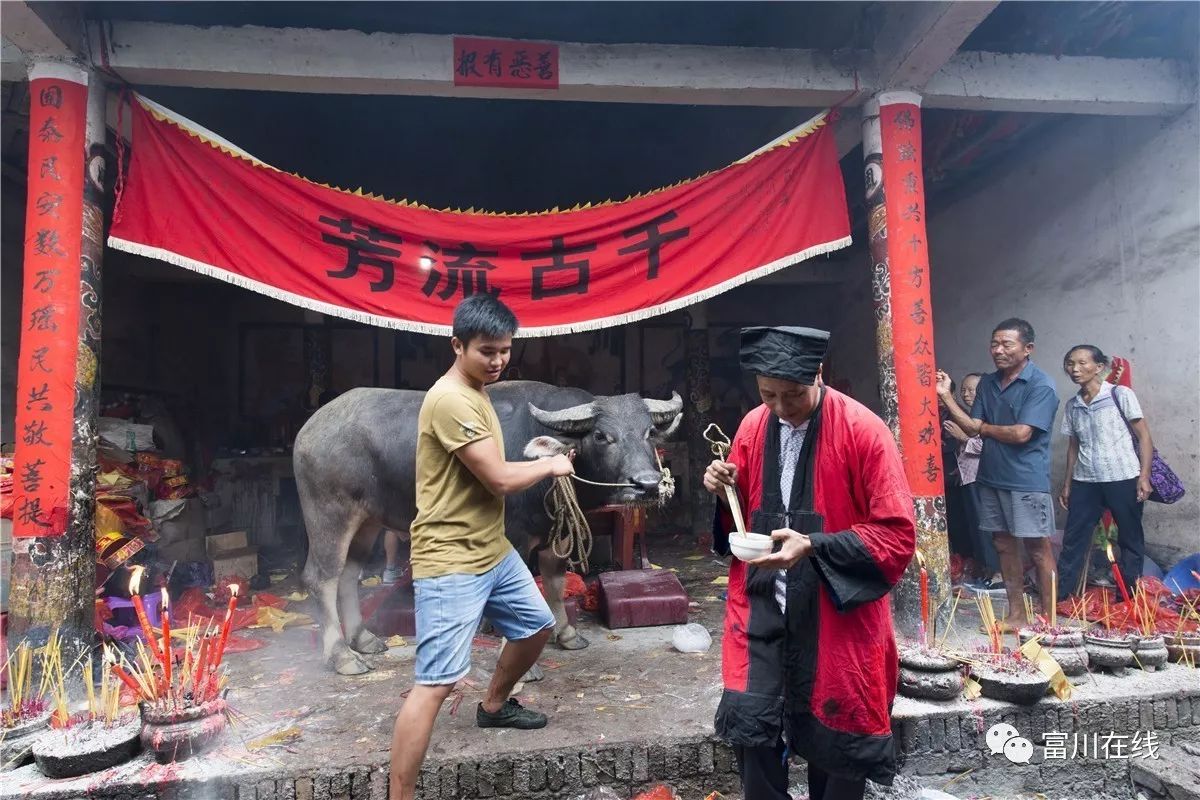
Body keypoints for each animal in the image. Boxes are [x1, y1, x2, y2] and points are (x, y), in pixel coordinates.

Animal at [295, 381, 681, 676]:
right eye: (602, 435)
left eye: (648, 432)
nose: (647, 484)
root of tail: (308, 430)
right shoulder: (513, 538)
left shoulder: (554, 534)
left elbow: (555, 584)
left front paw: (567, 634)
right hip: (329, 515)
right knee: (322, 577)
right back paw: (342, 656)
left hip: (367, 522)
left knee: (348, 574)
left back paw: (362, 640)